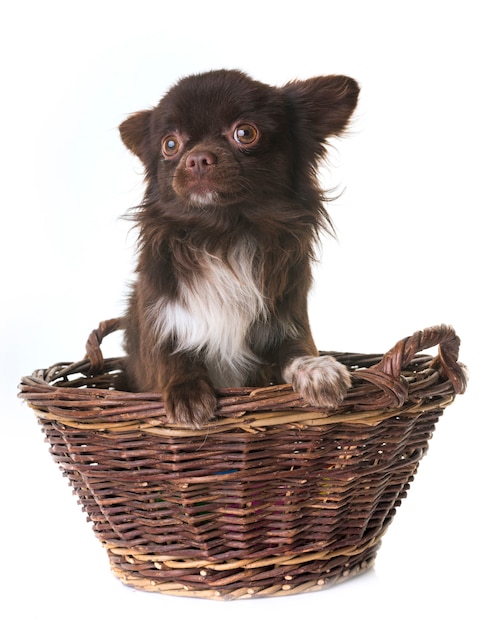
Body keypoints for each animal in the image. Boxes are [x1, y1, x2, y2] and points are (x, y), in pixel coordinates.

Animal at [119, 70, 358, 426]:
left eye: (245, 133)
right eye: (170, 144)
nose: (196, 158)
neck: (223, 234)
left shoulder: (286, 318)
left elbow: (298, 350)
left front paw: (317, 370)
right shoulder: (160, 317)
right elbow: (170, 357)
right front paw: (187, 392)